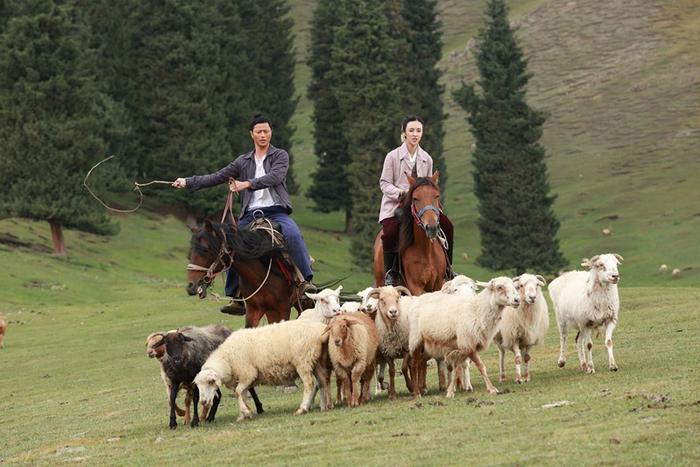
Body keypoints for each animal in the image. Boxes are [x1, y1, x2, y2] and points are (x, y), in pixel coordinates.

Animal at [193, 320, 332, 422]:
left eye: (210, 382)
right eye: (198, 386)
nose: (203, 402)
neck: (227, 359)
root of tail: (320, 329)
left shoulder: (248, 374)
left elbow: (238, 392)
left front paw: (246, 412)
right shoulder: (242, 378)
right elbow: (242, 394)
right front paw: (244, 415)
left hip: (303, 361)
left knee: (309, 384)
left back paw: (303, 408)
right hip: (317, 361)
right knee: (323, 382)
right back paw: (325, 406)